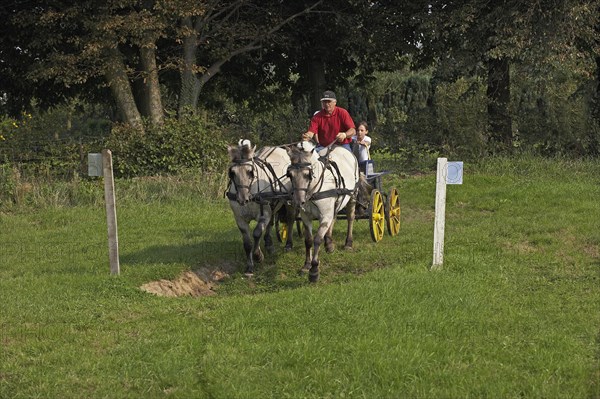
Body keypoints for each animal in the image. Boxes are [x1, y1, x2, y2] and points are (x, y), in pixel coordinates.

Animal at [226, 139, 294, 276]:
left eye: (250, 171)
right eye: (232, 173)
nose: (242, 199)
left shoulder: (263, 215)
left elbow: (257, 233)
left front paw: (258, 256)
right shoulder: (240, 219)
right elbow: (247, 243)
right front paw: (249, 267)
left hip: (288, 201)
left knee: (289, 220)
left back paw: (288, 245)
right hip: (273, 204)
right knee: (270, 223)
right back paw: (269, 244)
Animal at [288, 142, 360, 282]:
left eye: (308, 174)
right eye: (290, 174)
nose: (299, 202)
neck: (313, 191)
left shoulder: (325, 216)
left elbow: (317, 239)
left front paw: (314, 270)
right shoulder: (306, 217)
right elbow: (308, 240)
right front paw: (306, 265)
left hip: (353, 195)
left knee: (350, 217)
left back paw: (348, 243)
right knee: (334, 218)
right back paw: (329, 244)